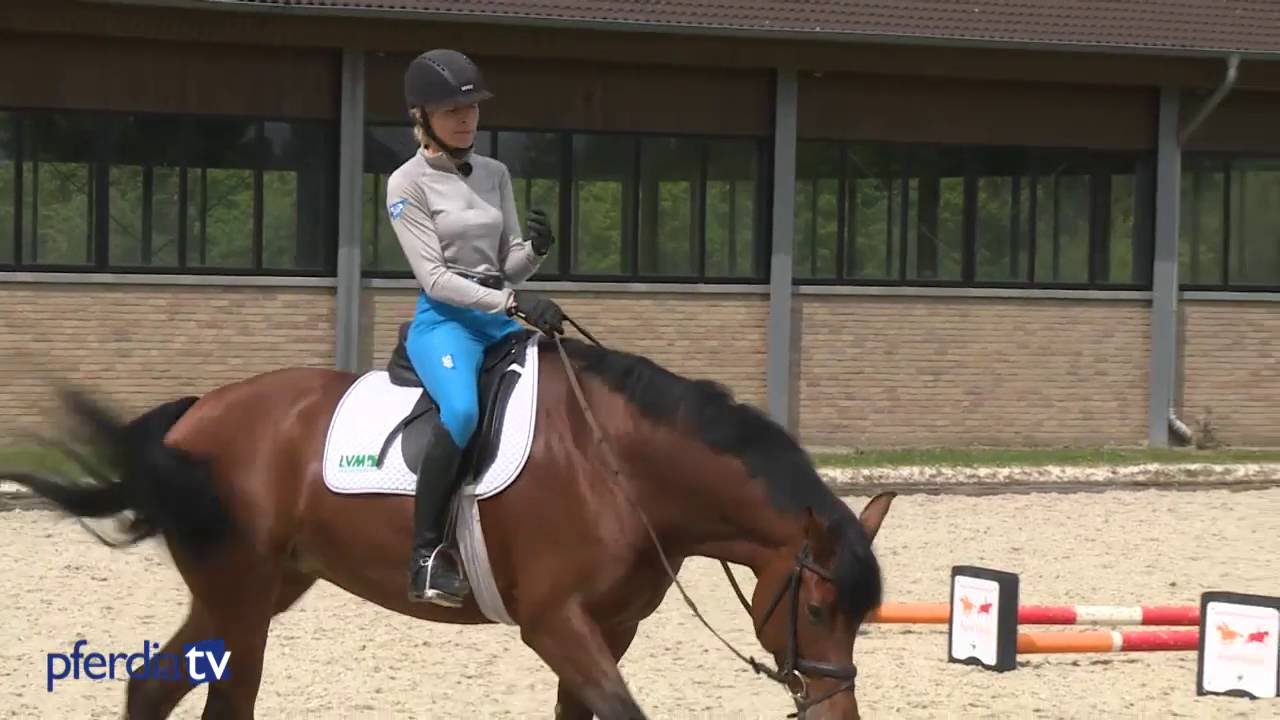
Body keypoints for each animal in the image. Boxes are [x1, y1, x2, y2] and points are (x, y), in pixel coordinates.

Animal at [2, 322, 895, 720]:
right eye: (818, 609)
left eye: (863, 619)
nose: (834, 713)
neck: (624, 468)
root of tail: (197, 416)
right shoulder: (555, 622)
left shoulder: (609, 630)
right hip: (242, 595)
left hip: (258, 589)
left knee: (155, 684)